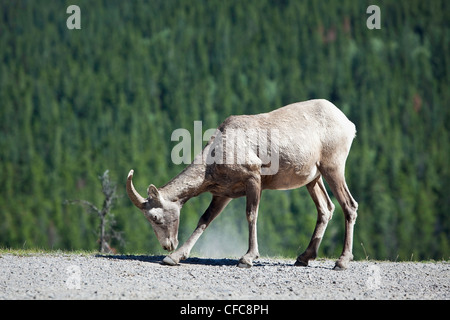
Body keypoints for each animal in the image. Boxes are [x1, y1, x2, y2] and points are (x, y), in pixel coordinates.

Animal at [126, 99, 358, 268]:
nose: (167, 245)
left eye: (155, 217)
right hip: (313, 179)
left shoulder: (253, 178)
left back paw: (342, 262)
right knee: (326, 209)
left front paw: (247, 258)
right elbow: (204, 220)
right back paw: (303, 258)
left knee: (349, 205)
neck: (216, 155)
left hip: (333, 168)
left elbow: (251, 215)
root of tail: (349, 124)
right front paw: (174, 258)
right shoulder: (223, 194)